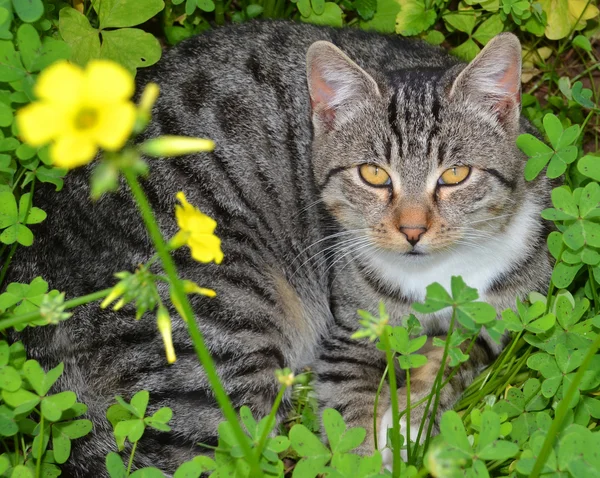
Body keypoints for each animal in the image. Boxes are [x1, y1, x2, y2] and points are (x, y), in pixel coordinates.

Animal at [8, 20, 552, 476]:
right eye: (373, 174)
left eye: (455, 174)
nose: (413, 230)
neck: (437, 275)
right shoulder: (347, 333)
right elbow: (351, 411)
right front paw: (374, 449)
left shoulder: (504, 313)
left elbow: (447, 363)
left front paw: (412, 422)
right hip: (218, 320)